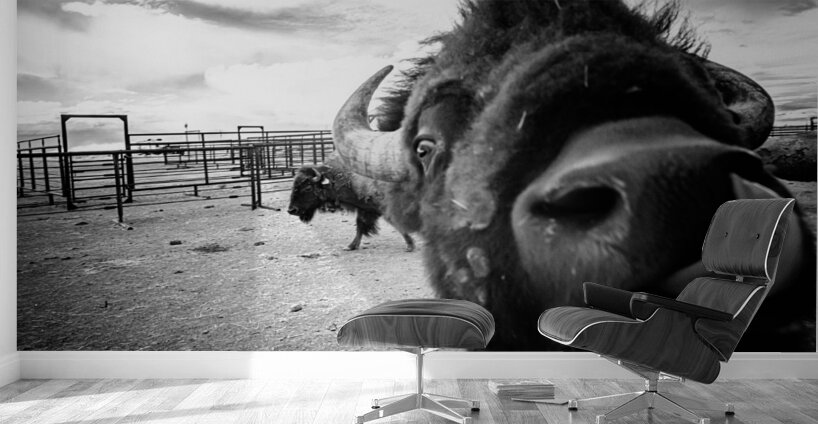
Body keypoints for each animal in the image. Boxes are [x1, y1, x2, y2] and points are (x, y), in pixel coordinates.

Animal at [287, 163, 415, 251]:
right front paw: (351, 246)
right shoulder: (365, 209)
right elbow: (360, 226)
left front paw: (410, 245)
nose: (292, 210)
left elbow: (397, 224)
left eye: (308, 188)